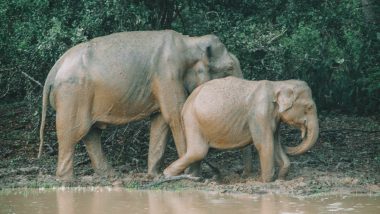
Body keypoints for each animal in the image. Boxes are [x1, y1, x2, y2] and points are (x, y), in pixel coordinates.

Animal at [37, 30, 240, 181]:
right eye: (230, 68)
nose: (216, 173)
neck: (189, 42)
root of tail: (53, 70)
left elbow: (161, 121)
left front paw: (155, 175)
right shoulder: (167, 74)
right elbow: (176, 115)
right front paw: (193, 177)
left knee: (90, 133)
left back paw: (110, 175)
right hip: (72, 95)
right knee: (71, 133)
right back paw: (67, 179)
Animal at [165, 76, 320, 181]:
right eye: (309, 107)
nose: (302, 133)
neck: (278, 83)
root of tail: (187, 102)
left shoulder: (273, 118)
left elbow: (275, 144)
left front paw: (281, 179)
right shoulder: (259, 114)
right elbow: (265, 144)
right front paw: (266, 181)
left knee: (196, 152)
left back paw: (195, 177)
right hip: (192, 120)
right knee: (198, 151)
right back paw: (168, 175)